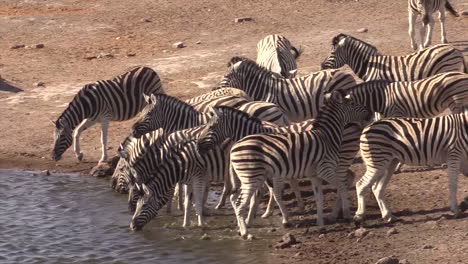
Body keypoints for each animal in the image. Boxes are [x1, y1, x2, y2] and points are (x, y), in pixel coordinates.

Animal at [221, 92, 372, 238]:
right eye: (352, 103)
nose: (370, 112)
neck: (326, 136)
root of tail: (234, 147)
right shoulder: (325, 169)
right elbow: (341, 187)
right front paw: (349, 215)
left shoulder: (314, 175)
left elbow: (319, 198)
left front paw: (320, 224)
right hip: (252, 176)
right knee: (239, 202)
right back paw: (245, 233)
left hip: (249, 177)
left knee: (235, 199)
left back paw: (242, 229)